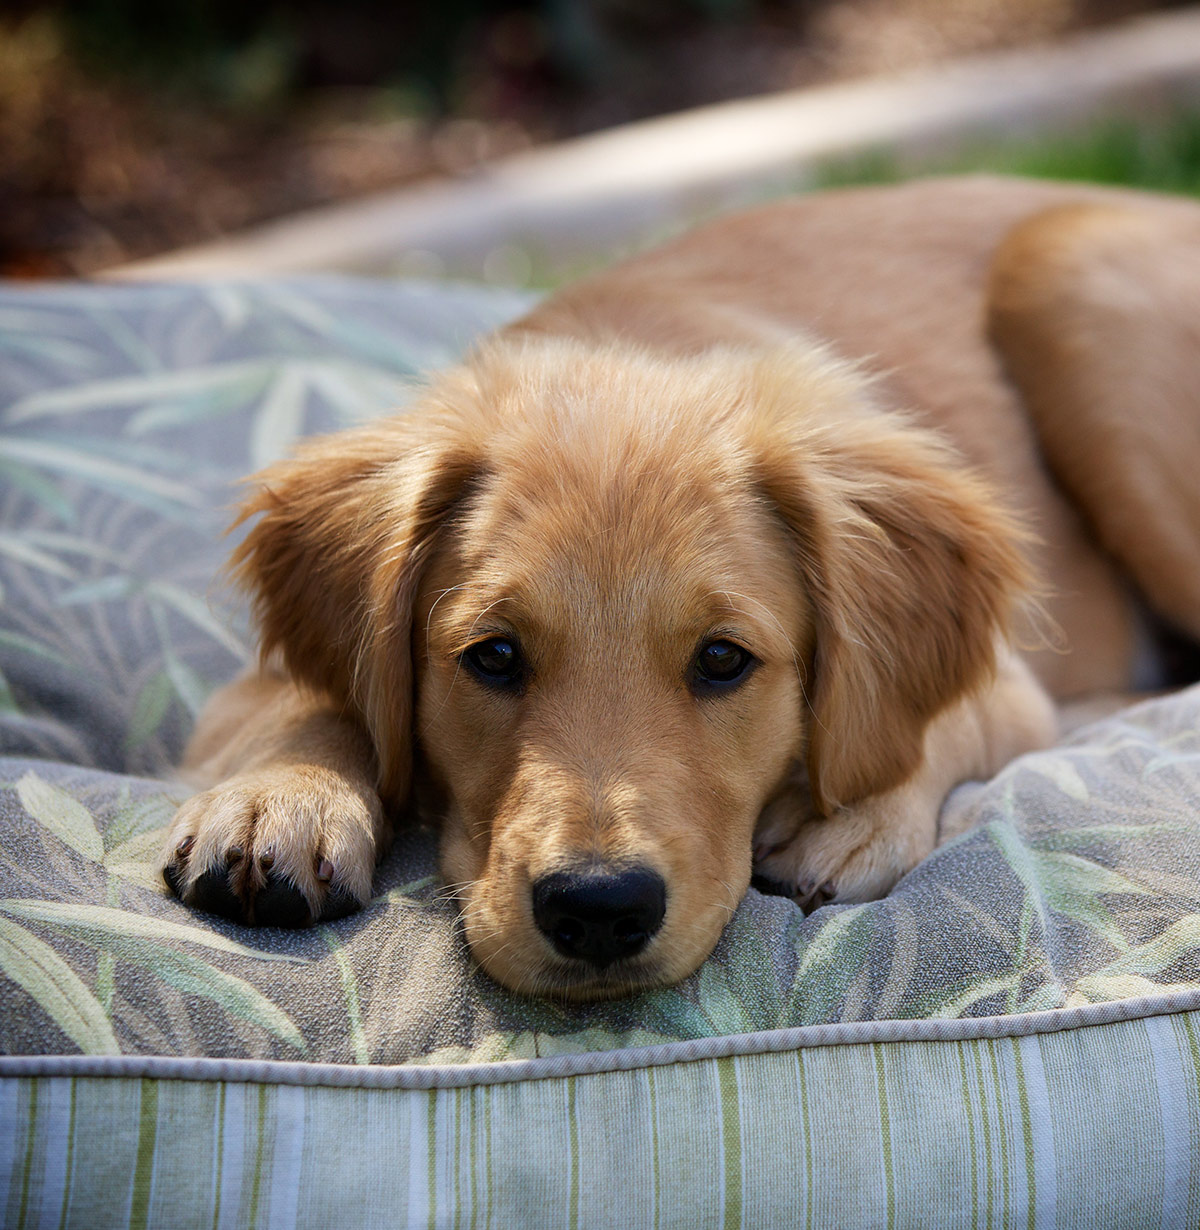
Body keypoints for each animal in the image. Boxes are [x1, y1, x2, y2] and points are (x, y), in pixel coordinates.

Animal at [163, 175, 1200, 998]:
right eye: (492, 656)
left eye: (723, 660)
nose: (597, 911)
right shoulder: (242, 690)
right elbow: (313, 700)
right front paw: (279, 797)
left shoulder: (1010, 687)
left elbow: (929, 726)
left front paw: (853, 815)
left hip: (1070, 283)